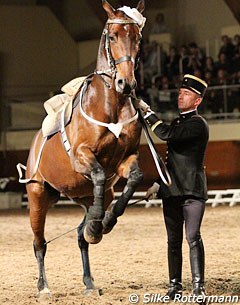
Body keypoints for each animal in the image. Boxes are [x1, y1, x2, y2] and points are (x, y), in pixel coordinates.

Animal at [26, 0, 146, 296]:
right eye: (112, 36)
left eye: (137, 38)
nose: (126, 84)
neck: (111, 104)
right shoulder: (83, 157)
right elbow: (99, 173)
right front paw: (99, 224)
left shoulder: (125, 159)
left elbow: (134, 177)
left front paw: (104, 222)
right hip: (38, 195)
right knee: (39, 242)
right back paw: (43, 287)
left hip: (83, 196)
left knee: (81, 237)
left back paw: (90, 280)